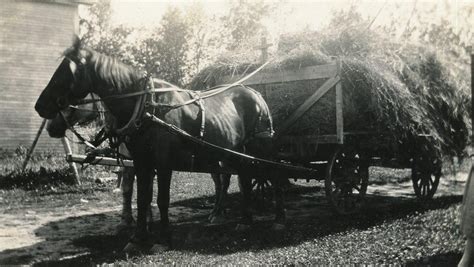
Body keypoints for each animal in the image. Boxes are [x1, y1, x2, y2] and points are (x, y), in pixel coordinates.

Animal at [36, 37, 286, 251]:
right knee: (244, 178)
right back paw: (245, 219)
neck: (147, 106)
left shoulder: (164, 162)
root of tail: (255, 92)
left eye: (66, 72)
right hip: (234, 152)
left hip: (259, 148)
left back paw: (278, 218)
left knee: (273, 175)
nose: (39, 107)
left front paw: (163, 239)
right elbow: (142, 198)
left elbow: (162, 200)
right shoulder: (141, 161)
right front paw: (137, 238)